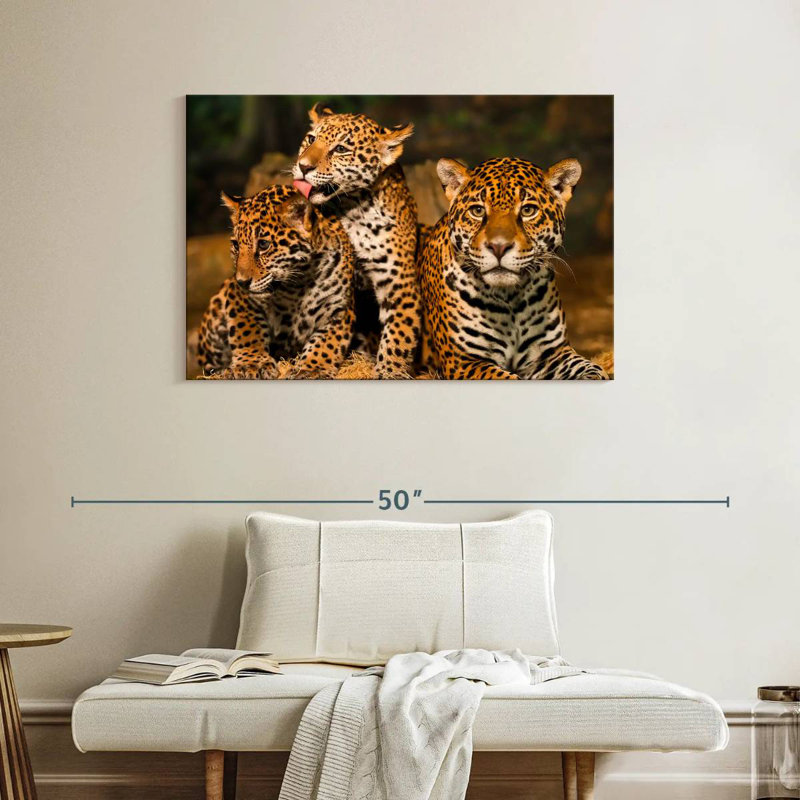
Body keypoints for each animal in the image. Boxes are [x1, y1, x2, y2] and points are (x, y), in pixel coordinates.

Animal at [197, 185, 355, 380]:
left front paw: (312, 368)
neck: (298, 283)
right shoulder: (238, 297)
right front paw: (251, 364)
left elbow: (327, 342)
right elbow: (247, 329)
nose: (242, 282)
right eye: (236, 245)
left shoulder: (339, 309)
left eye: (264, 245)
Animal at [291, 104, 420, 378]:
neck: (353, 209)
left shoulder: (400, 283)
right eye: (311, 139)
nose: (303, 166)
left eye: (341, 149)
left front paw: (390, 371)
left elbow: (399, 334)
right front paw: (311, 367)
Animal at [419, 156, 609, 380]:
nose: (499, 247)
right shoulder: (463, 362)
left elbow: (590, 369)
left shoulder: (552, 353)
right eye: (477, 211)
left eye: (528, 211)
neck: (510, 299)